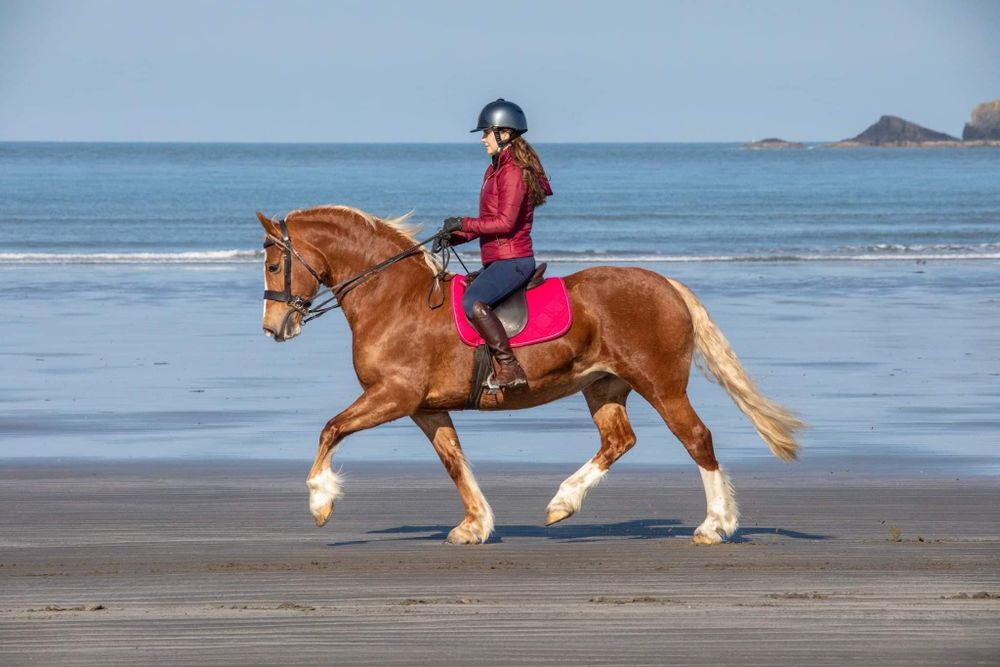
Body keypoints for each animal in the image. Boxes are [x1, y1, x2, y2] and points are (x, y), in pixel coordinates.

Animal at [257, 205, 804, 545]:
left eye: (273, 264)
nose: (273, 327)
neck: (394, 299)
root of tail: (666, 283)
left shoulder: (393, 395)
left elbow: (330, 428)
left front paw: (320, 501)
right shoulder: (426, 408)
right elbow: (454, 462)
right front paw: (475, 525)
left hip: (661, 385)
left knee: (696, 438)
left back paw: (715, 525)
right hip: (603, 385)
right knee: (618, 440)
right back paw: (563, 502)